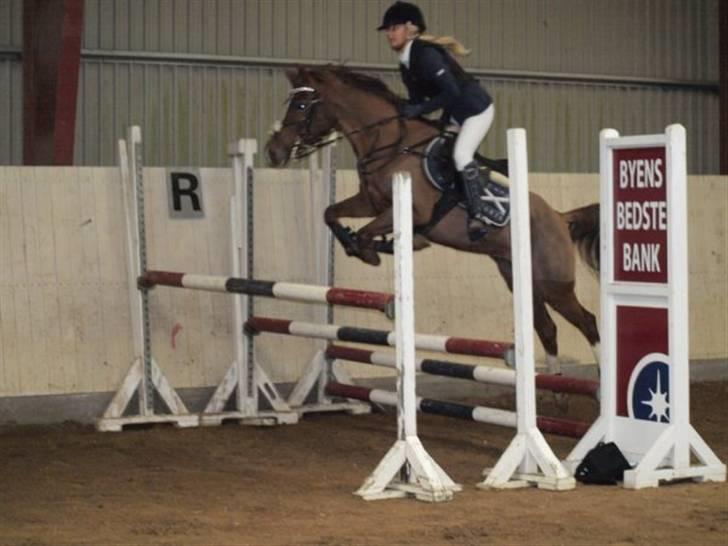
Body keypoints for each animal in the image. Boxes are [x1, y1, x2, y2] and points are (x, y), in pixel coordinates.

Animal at [264, 62, 600, 370]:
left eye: (302, 105)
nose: (273, 152)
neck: (390, 142)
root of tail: (560, 217)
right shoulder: (370, 202)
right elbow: (330, 213)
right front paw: (357, 244)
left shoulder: (411, 210)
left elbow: (367, 233)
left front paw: (376, 249)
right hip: (519, 278)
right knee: (547, 327)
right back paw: (552, 386)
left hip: (553, 284)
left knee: (587, 321)